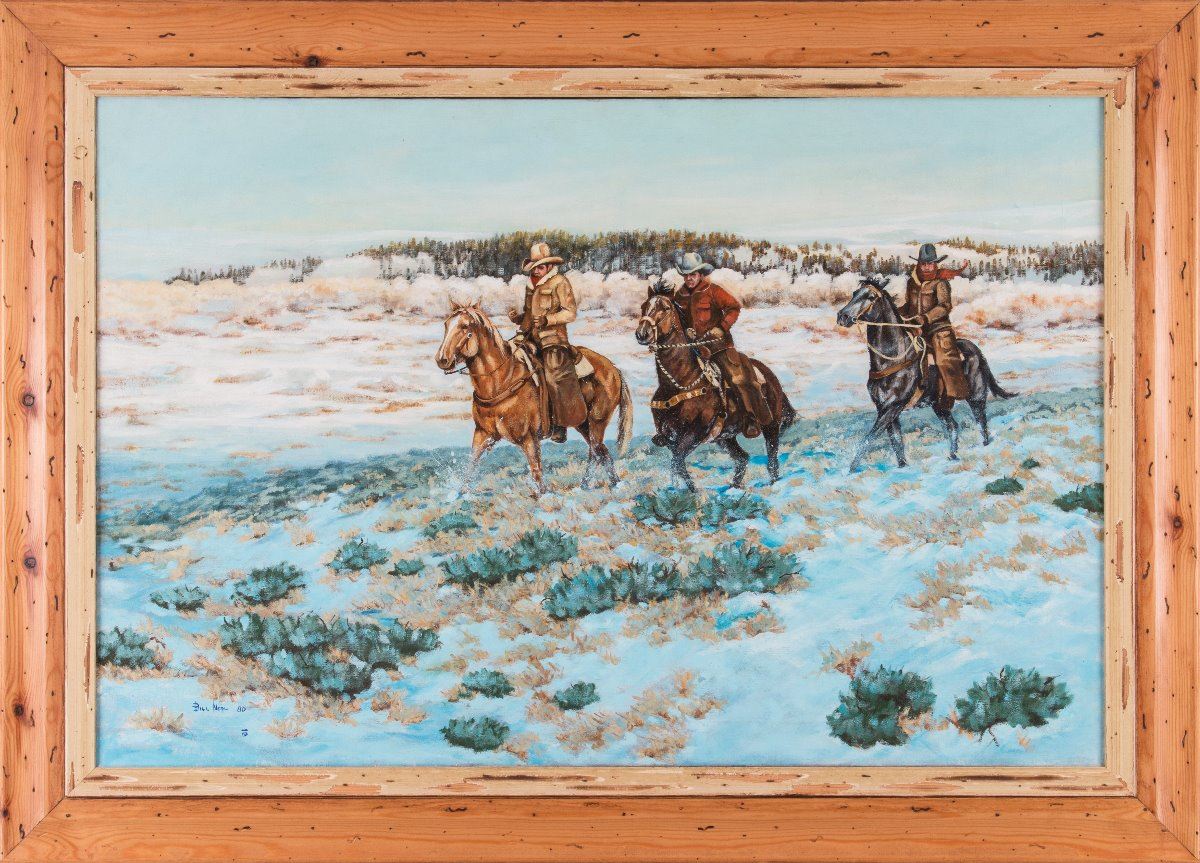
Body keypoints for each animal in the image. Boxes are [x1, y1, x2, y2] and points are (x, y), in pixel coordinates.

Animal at [434, 300, 633, 496]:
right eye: (446, 325)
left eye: (464, 326)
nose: (441, 359)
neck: (502, 380)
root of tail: (614, 369)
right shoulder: (482, 434)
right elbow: (471, 466)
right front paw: (460, 494)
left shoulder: (529, 438)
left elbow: (537, 473)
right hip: (583, 424)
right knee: (601, 451)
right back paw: (608, 484)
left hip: (597, 422)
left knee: (596, 451)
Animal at [635, 285, 795, 491]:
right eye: (643, 306)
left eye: (666, 308)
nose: (642, 333)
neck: (679, 382)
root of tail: (770, 376)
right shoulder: (670, 436)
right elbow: (676, 462)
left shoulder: (695, 433)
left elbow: (677, 461)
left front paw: (693, 492)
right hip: (725, 438)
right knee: (742, 459)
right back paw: (734, 487)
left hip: (771, 428)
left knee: (772, 462)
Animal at [835, 274, 1015, 472]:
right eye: (855, 293)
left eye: (870, 297)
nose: (842, 316)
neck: (892, 358)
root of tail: (973, 348)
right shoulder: (884, 408)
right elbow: (896, 441)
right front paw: (902, 467)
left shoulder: (893, 406)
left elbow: (868, 439)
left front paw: (851, 470)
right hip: (940, 405)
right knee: (953, 426)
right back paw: (952, 456)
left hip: (976, 398)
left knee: (982, 424)